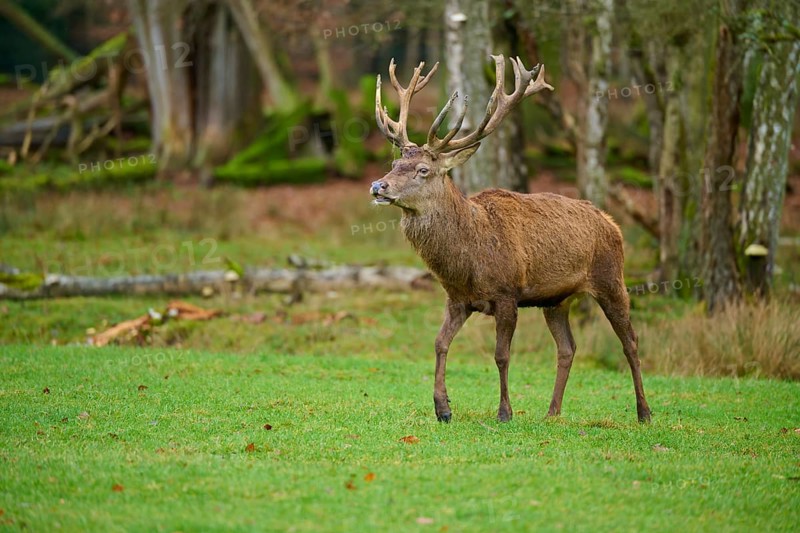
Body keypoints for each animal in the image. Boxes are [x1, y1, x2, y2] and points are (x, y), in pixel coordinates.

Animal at [370, 55, 652, 424]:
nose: (378, 186)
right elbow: (439, 343)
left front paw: (504, 411)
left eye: (423, 170)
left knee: (630, 340)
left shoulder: (507, 294)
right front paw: (443, 408)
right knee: (567, 347)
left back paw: (644, 412)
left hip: (611, 279)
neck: (468, 260)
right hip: (556, 300)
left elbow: (501, 354)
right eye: (393, 163)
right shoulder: (457, 298)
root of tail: (611, 222)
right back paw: (552, 413)